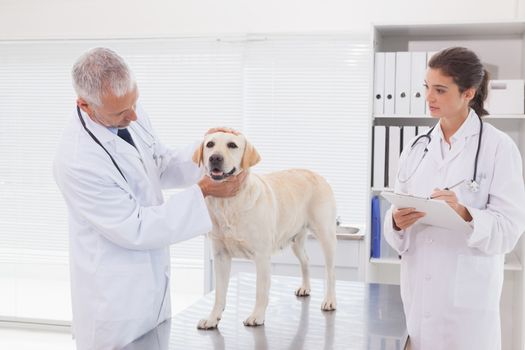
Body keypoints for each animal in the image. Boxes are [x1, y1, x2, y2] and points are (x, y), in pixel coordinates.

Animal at [192, 131, 336, 328]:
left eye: (232, 145)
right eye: (210, 144)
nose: (215, 158)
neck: (228, 203)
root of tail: (317, 174)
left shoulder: (261, 257)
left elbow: (260, 292)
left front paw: (257, 316)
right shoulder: (220, 256)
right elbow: (219, 294)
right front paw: (212, 318)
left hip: (326, 236)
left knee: (330, 271)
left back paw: (329, 300)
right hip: (295, 241)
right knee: (305, 260)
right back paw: (305, 287)